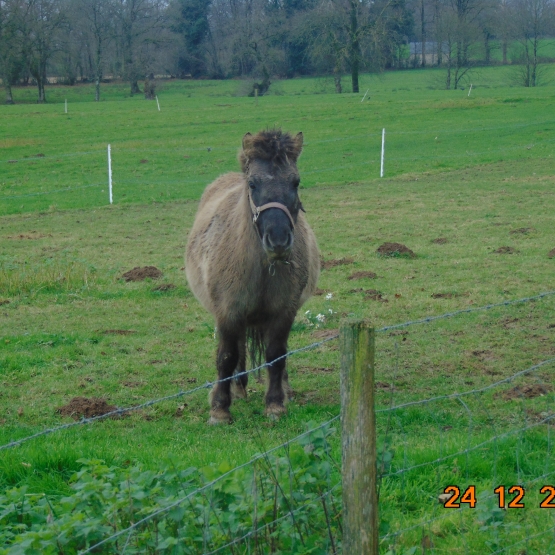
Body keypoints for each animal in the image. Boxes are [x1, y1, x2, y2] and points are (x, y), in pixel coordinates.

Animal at [186, 129, 320, 426]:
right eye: (253, 184)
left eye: (295, 182)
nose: (278, 240)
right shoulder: (228, 311)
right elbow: (227, 356)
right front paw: (220, 409)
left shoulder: (284, 312)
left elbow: (276, 355)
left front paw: (275, 404)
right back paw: (238, 388)